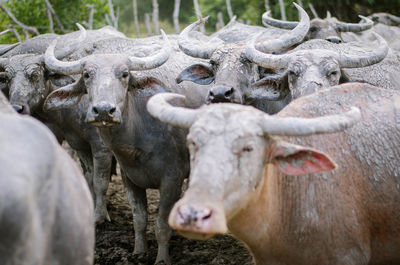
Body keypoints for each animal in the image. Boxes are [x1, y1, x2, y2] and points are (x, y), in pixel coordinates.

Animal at [41, 29, 208, 262]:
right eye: (87, 75)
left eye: (125, 74)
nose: (103, 110)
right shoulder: (130, 180)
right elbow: (139, 219)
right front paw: (139, 252)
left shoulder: (171, 180)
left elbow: (161, 225)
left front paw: (162, 258)